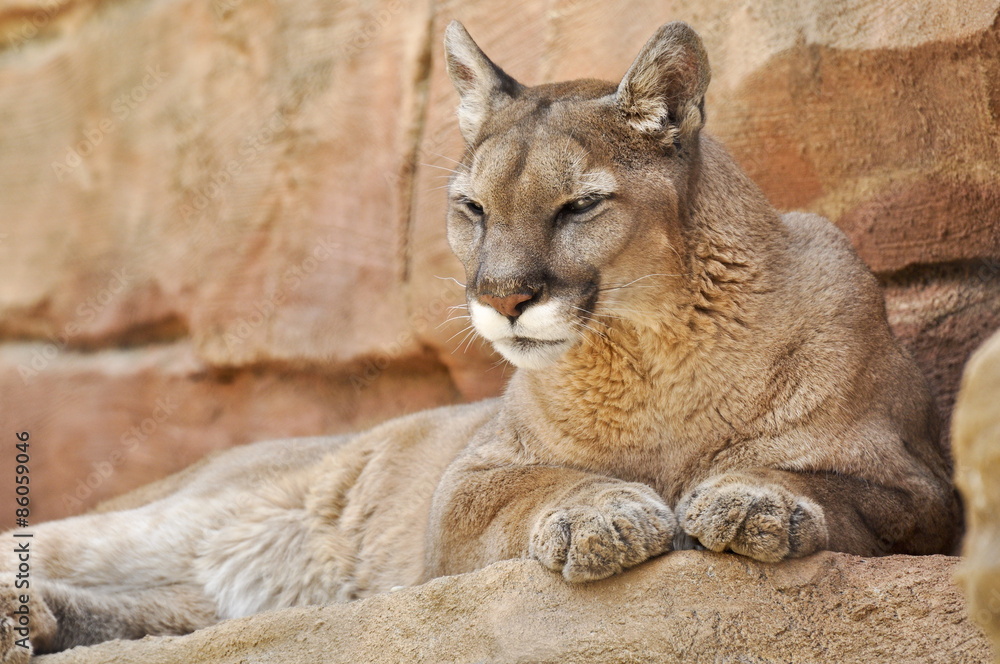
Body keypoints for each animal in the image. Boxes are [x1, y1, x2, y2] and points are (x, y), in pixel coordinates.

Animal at [0, 20, 960, 660]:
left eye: (579, 206)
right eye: (472, 209)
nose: (502, 297)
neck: (650, 350)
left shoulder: (919, 485)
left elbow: (831, 485)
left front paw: (757, 500)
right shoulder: (465, 486)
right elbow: (537, 485)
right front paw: (601, 514)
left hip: (213, 595)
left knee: (160, 612)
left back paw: (37, 621)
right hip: (193, 516)